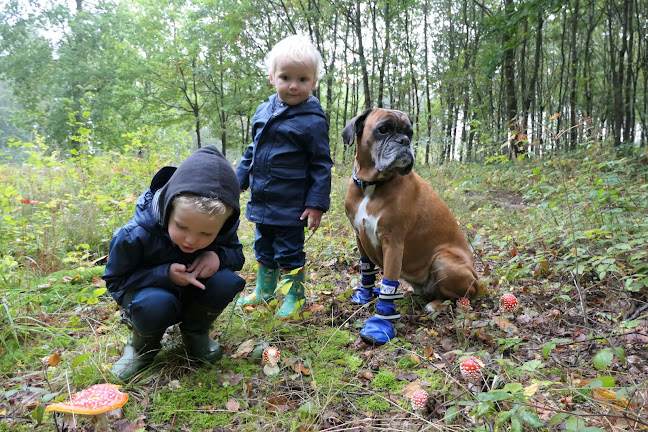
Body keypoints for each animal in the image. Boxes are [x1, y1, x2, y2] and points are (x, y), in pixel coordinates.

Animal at [344, 109, 480, 346]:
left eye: (409, 133)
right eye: (383, 129)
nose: (404, 141)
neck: (371, 186)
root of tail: (479, 281)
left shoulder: (393, 243)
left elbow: (388, 283)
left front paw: (379, 324)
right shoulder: (359, 237)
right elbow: (366, 270)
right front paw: (364, 295)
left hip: (443, 260)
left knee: (464, 298)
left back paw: (436, 304)